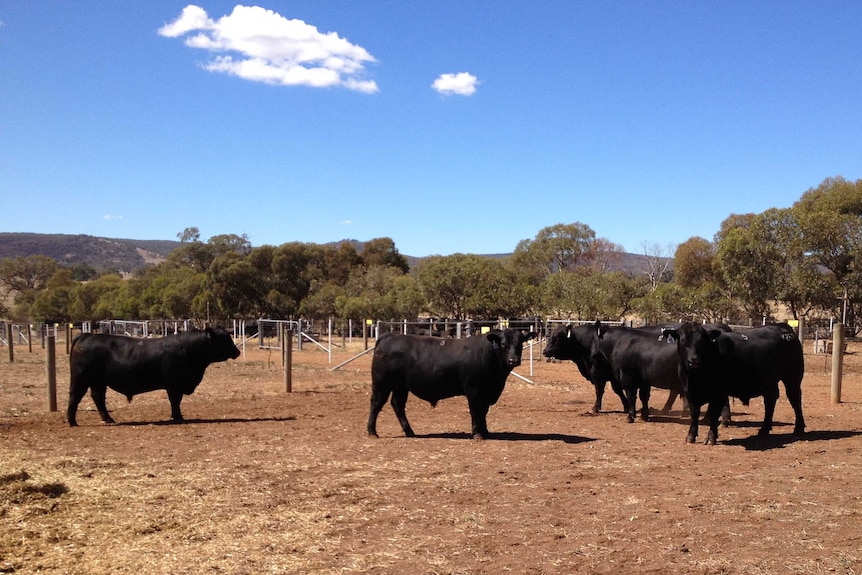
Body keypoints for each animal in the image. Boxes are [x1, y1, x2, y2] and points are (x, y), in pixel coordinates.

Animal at [66, 326, 243, 426]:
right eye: (224, 339)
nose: (237, 352)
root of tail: (87, 335)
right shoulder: (174, 384)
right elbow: (175, 401)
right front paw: (178, 417)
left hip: (98, 381)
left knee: (98, 398)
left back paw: (108, 419)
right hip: (81, 378)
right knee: (75, 396)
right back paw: (72, 421)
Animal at [366, 328, 540, 440]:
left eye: (520, 343)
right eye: (503, 344)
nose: (513, 360)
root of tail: (388, 336)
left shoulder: (487, 392)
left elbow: (483, 412)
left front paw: (485, 431)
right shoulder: (474, 389)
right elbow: (476, 411)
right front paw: (477, 434)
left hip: (401, 387)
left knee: (398, 405)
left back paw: (409, 431)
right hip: (382, 384)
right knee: (376, 404)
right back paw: (372, 432)